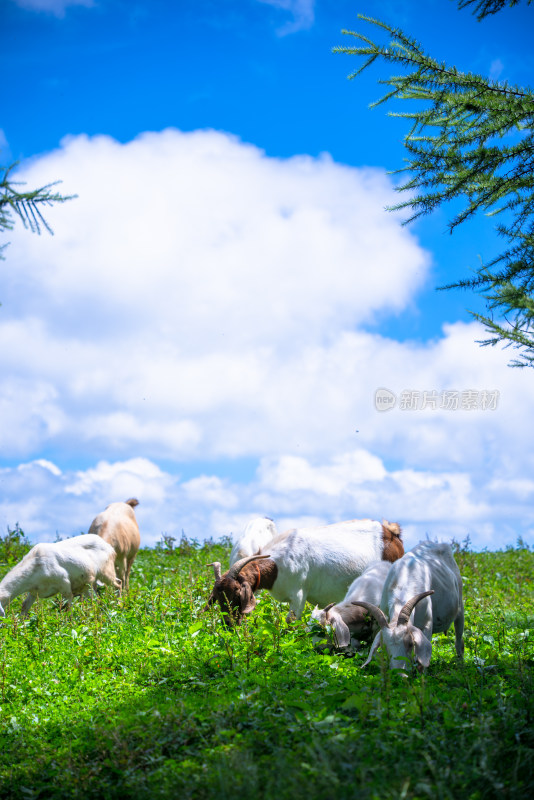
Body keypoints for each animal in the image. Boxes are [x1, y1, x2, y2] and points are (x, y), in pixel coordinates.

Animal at [207, 520, 404, 624]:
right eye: (217, 597)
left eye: (237, 594)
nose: (229, 625)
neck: (277, 564)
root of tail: (391, 533)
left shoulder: (299, 594)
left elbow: (291, 623)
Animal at [356, 540, 464, 672]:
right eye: (384, 647)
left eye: (410, 643)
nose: (400, 673)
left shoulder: (427, 624)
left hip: (460, 606)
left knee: (459, 641)